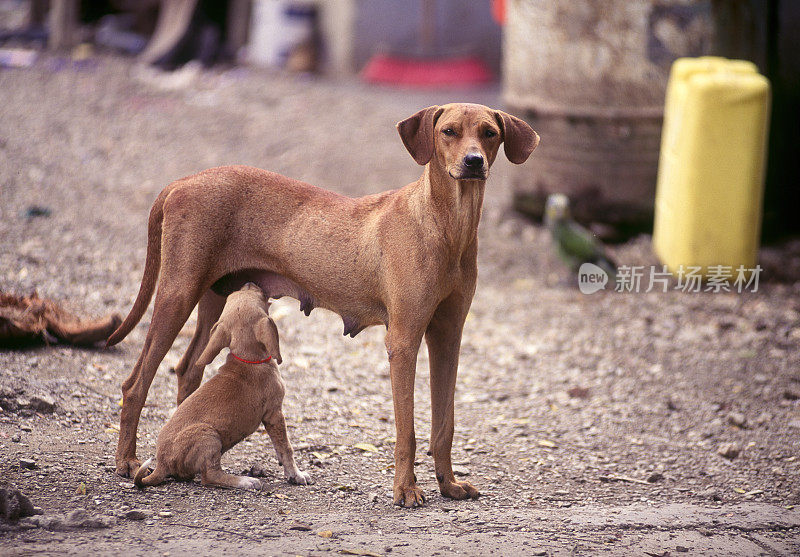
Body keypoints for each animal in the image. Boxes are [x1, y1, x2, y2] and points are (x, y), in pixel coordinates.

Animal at [108, 102, 536, 506]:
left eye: (489, 133)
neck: (446, 225)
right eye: (449, 132)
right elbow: (408, 431)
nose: (474, 161)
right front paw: (405, 490)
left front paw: (448, 485)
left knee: (188, 369)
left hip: (216, 302)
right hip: (177, 293)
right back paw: (127, 461)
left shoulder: (448, 338)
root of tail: (182, 181)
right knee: (136, 383)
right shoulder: (404, 341)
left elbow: (443, 425)